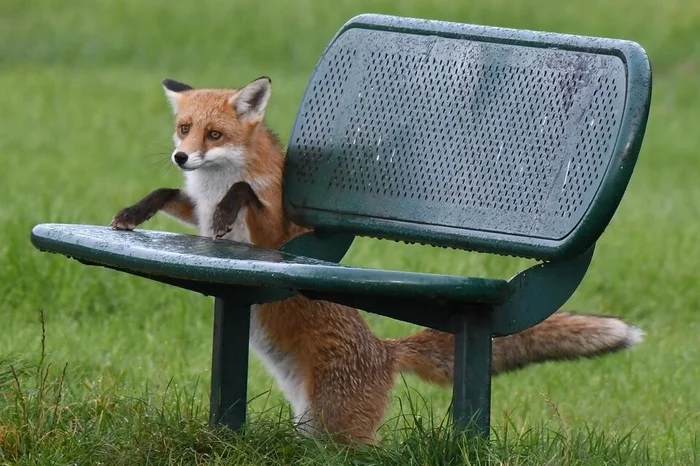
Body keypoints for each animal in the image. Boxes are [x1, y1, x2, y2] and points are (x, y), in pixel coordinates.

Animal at [109, 76, 644, 444]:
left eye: (214, 135)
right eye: (184, 129)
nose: (181, 157)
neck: (211, 185)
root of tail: (385, 351)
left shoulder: (274, 237)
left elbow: (244, 195)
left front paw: (228, 204)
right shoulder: (194, 208)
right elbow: (167, 194)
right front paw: (132, 212)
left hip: (339, 430)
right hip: (314, 425)